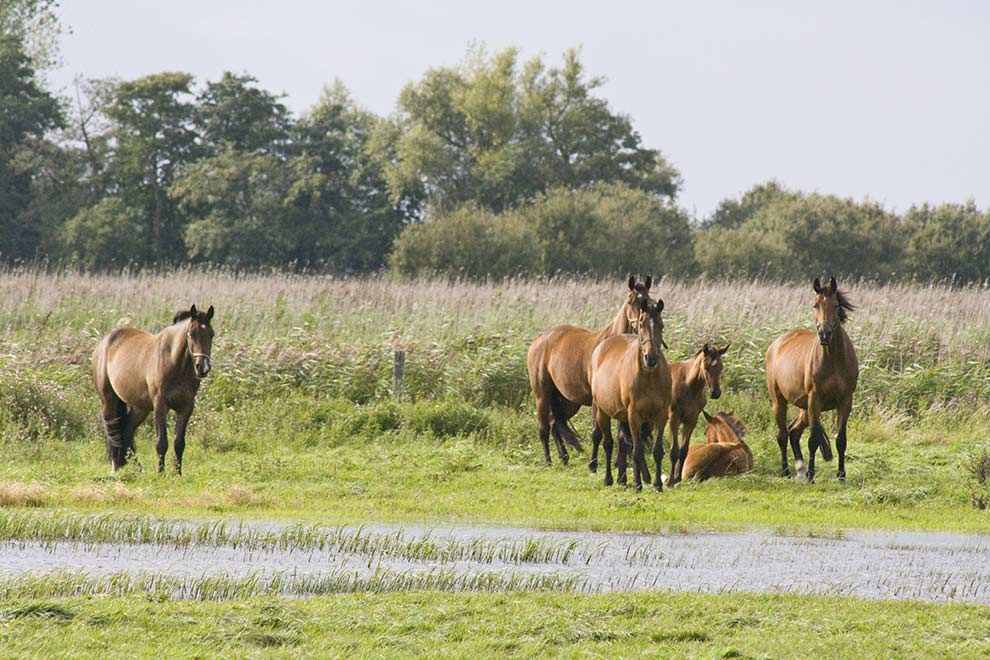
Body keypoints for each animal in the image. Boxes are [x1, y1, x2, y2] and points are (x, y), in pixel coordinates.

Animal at [92, 304, 216, 474]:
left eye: (211, 335)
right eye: (191, 334)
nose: (203, 368)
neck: (174, 362)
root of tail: (104, 343)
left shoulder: (186, 407)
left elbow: (179, 443)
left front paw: (177, 473)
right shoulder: (160, 405)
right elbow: (161, 443)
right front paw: (161, 473)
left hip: (140, 408)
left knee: (126, 432)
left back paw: (138, 469)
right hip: (108, 401)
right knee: (113, 433)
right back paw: (116, 467)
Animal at [528, 276, 660, 466]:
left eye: (648, 299)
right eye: (630, 300)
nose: (637, 329)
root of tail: (538, 340)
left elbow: (622, 433)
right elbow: (600, 433)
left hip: (567, 401)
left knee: (555, 424)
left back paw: (564, 458)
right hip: (542, 394)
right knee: (544, 427)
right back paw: (548, 461)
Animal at [588, 296, 676, 492]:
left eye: (661, 325)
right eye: (641, 325)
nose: (651, 358)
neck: (649, 376)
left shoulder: (660, 415)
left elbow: (657, 451)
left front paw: (657, 484)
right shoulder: (634, 415)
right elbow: (637, 451)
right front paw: (638, 484)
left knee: (622, 441)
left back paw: (622, 478)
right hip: (602, 411)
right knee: (608, 443)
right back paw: (609, 478)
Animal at [668, 342, 728, 488]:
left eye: (721, 367)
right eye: (706, 366)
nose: (716, 393)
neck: (689, 386)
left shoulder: (691, 420)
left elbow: (684, 450)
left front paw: (678, 479)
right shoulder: (674, 418)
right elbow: (674, 451)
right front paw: (670, 481)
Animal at [768, 276, 860, 482]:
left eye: (836, 305)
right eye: (815, 305)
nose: (824, 334)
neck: (834, 359)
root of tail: (777, 344)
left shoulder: (845, 400)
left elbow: (841, 439)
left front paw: (841, 476)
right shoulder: (815, 399)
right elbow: (813, 439)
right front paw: (811, 475)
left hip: (804, 407)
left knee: (793, 432)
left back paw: (800, 469)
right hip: (780, 401)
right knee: (782, 434)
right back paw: (787, 472)